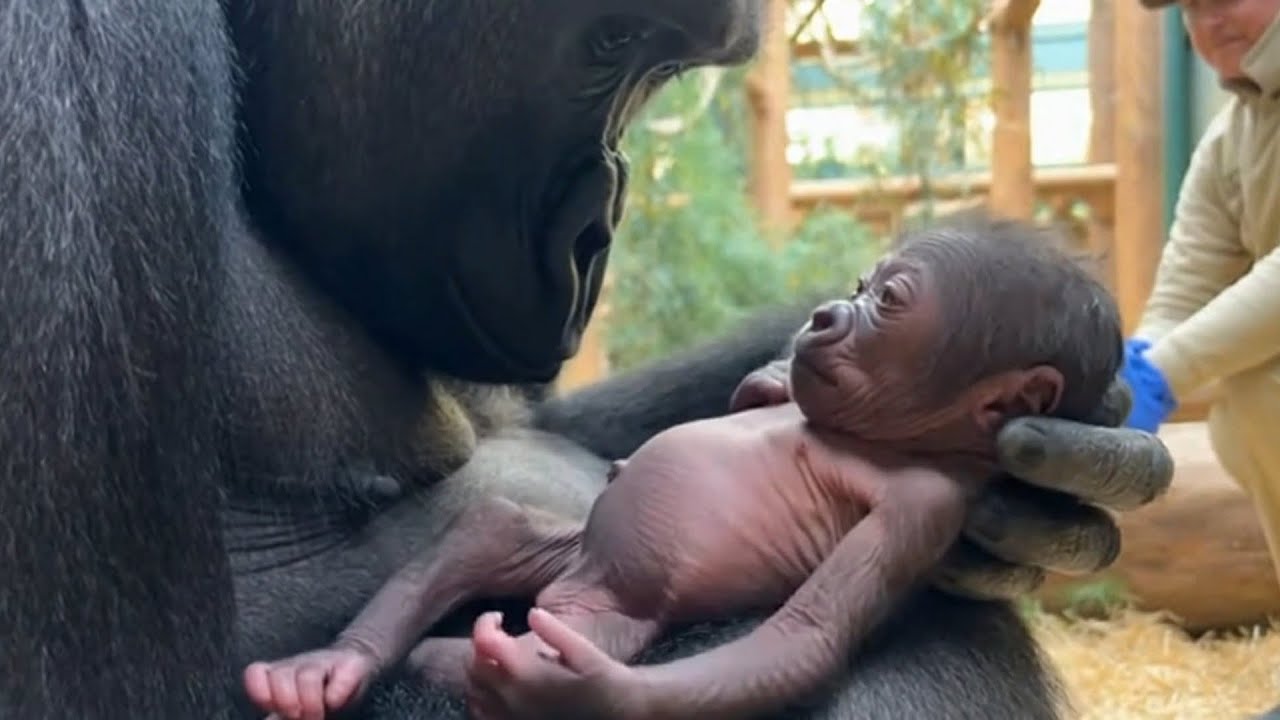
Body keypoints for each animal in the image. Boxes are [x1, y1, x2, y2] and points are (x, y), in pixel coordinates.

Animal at [241, 216, 1124, 720]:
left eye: (890, 301)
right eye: (860, 284)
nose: (825, 316)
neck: (894, 438)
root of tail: (575, 581)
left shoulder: (921, 509)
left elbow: (808, 634)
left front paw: (578, 695)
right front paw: (770, 378)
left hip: (600, 612)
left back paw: (462, 666)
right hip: (562, 554)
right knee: (491, 526)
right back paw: (333, 668)